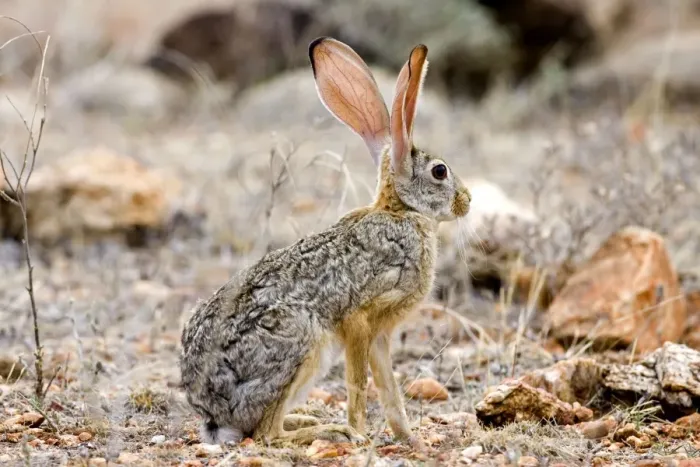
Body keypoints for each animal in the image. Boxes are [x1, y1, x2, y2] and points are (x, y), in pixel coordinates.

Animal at [179, 36, 471, 448]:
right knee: (267, 434)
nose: (467, 201)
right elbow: (359, 384)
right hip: (301, 342)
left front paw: (409, 439)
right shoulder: (359, 319)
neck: (401, 211)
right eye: (440, 171)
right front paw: (360, 433)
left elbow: (390, 390)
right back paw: (328, 429)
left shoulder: (381, 335)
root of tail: (212, 414)